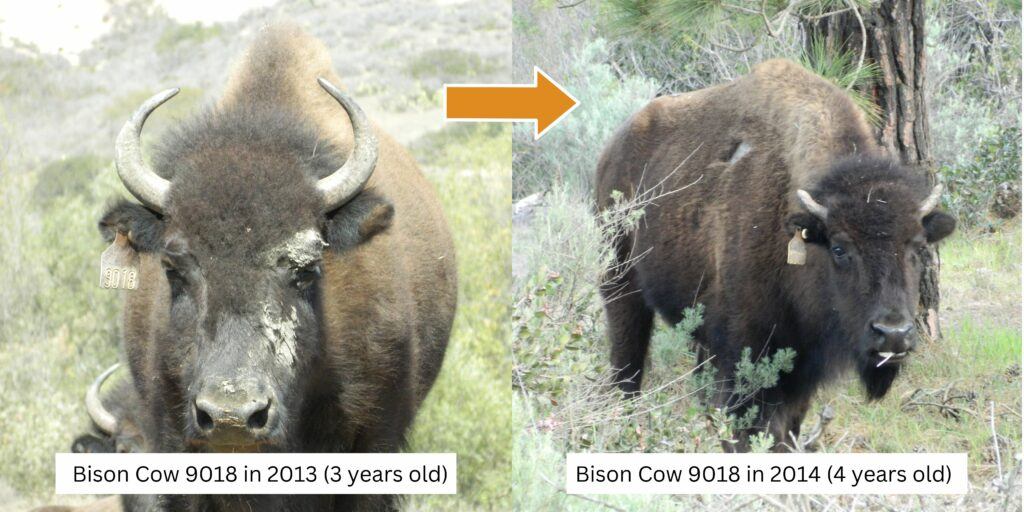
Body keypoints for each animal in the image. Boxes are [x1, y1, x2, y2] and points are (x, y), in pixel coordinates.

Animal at [598, 58, 954, 452]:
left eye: (918, 248)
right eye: (839, 248)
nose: (893, 334)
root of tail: (612, 150)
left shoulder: (800, 371)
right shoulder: (743, 357)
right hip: (620, 285)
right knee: (627, 366)